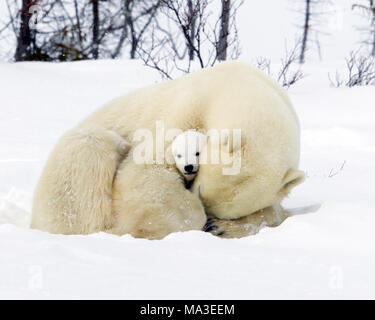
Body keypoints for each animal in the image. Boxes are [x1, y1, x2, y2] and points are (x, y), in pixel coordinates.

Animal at [30, 61, 306, 239]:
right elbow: (144, 174)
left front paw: (223, 227)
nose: (211, 221)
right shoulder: (186, 112)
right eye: (200, 190)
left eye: (228, 215)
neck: (234, 86)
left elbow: (275, 211)